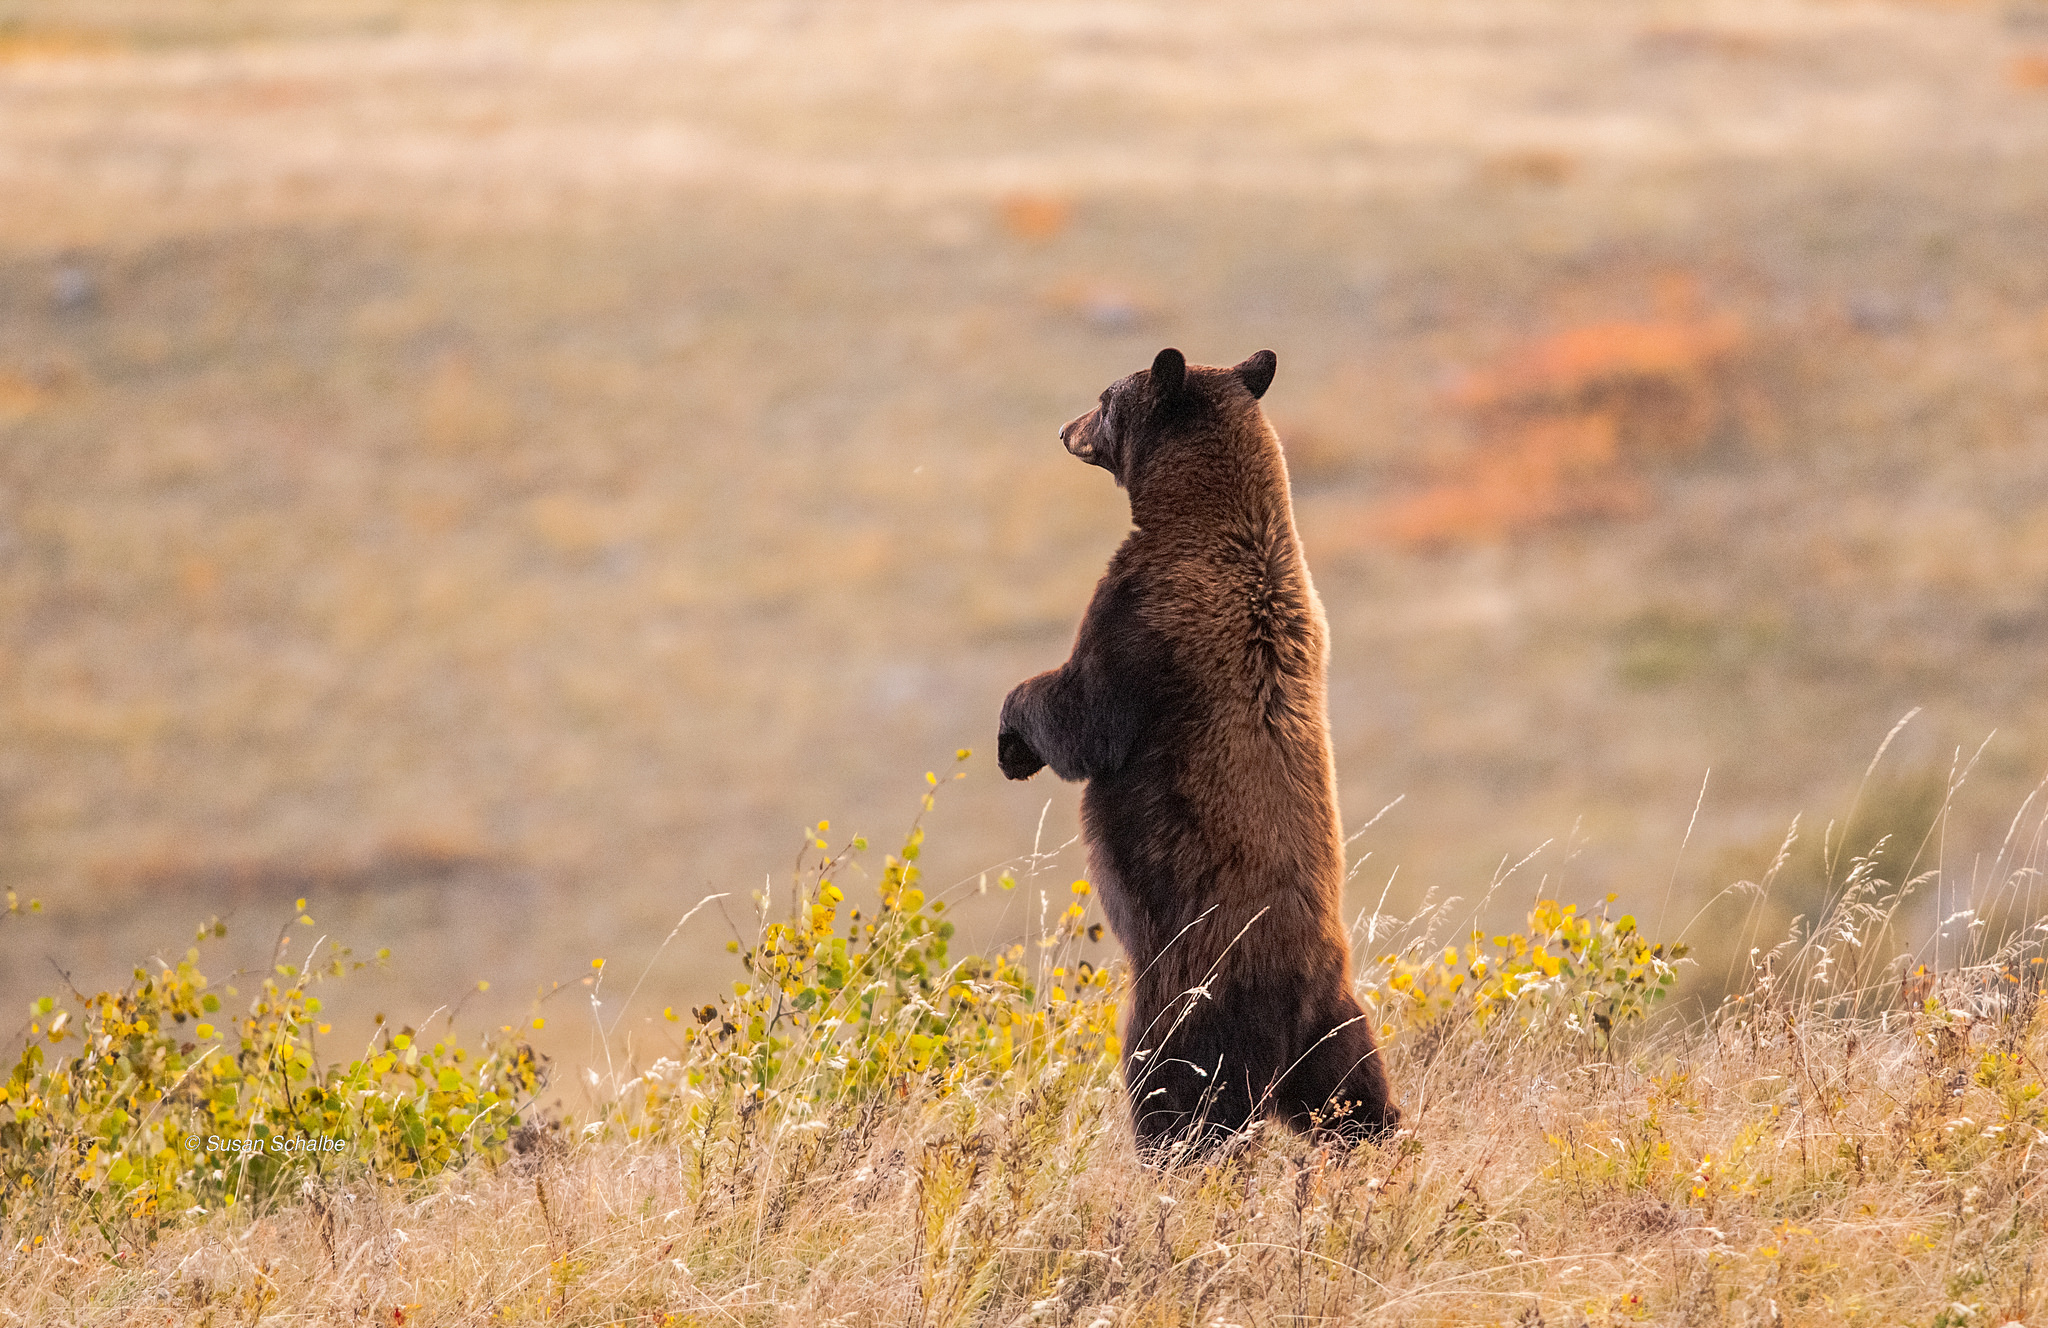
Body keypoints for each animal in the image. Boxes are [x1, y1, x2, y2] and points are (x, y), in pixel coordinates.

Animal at [995, 348, 1400, 1155]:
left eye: (1104, 398)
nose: (1064, 428)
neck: (1204, 520)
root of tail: (1292, 1005)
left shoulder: (1147, 616)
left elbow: (1086, 717)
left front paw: (1013, 736)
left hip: (1184, 1003)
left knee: (1172, 1097)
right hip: (1340, 1029)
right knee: (1358, 1100)